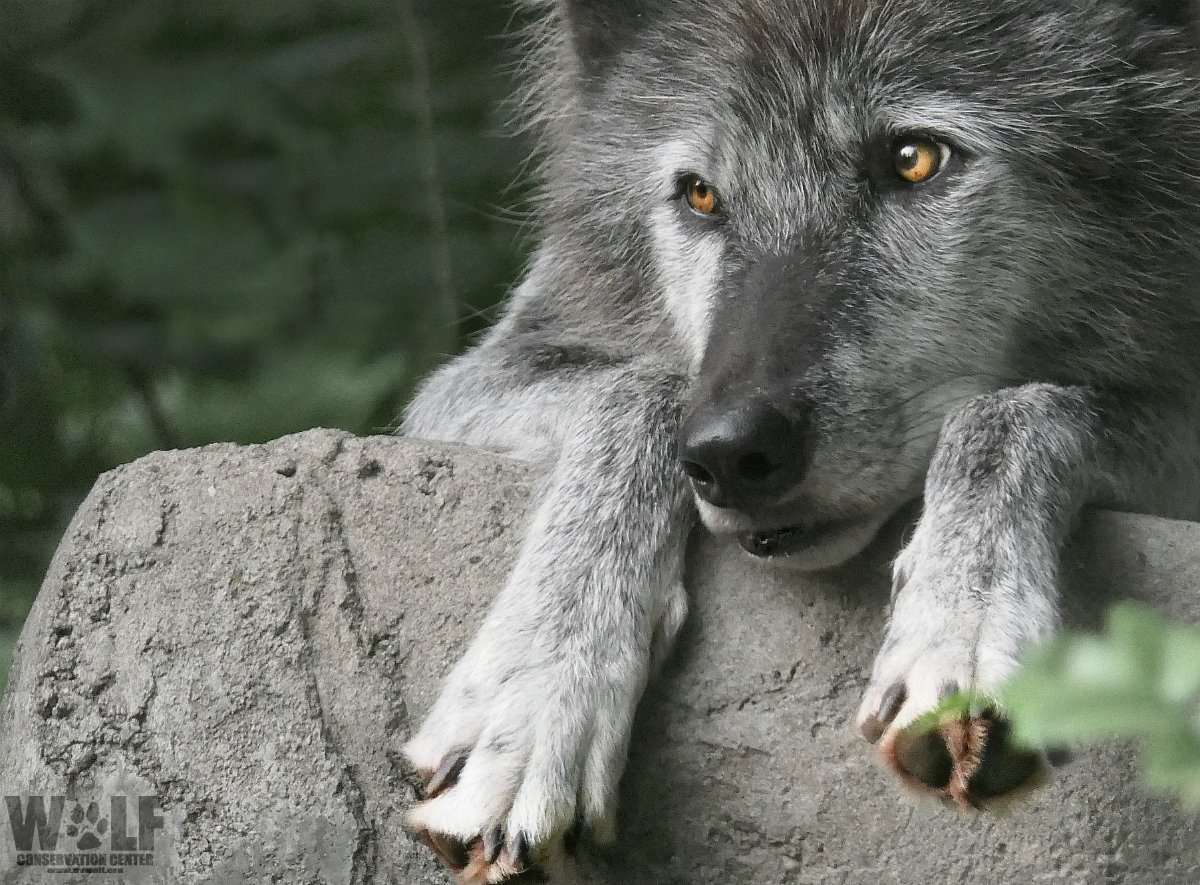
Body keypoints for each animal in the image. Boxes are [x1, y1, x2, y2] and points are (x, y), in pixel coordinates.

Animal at [399, 0, 1200, 880]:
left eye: (914, 160)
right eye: (701, 194)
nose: (728, 454)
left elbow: (1011, 410)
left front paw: (964, 627)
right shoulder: (472, 378)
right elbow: (644, 388)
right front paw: (534, 693)